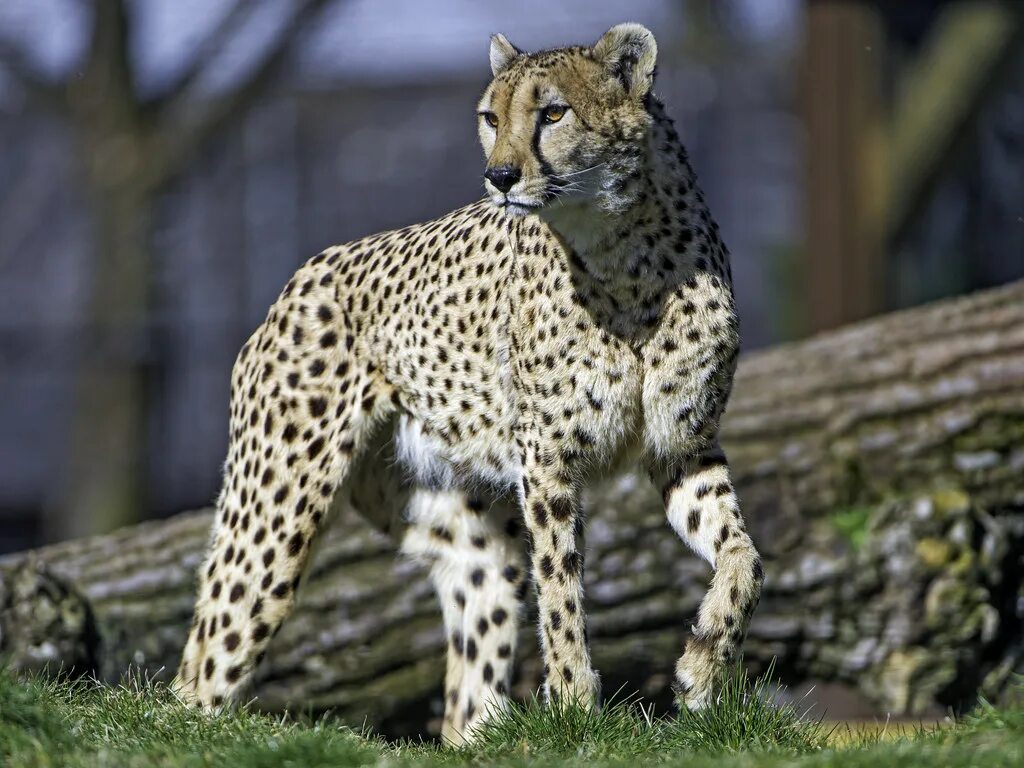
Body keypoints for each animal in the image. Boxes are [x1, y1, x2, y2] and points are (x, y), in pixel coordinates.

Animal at [176, 24, 761, 745]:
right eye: (490, 117)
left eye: (553, 113)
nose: (501, 176)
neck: (625, 257)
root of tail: (301, 277)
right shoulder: (547, 461)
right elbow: (561, 591)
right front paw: (574, 705)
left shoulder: (682, 445)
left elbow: (743, 556)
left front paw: (703, 665)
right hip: (277, 509)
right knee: (206, 659)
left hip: (467, 534)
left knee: (468, 660)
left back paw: (479, 733)